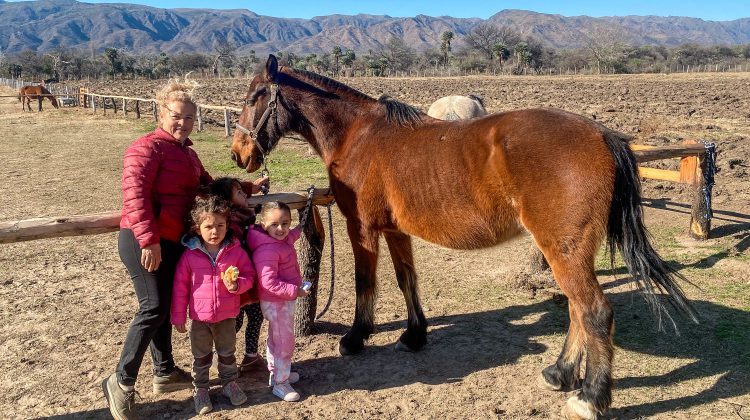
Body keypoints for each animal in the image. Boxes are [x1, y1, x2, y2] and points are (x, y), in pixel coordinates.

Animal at [231, 55, 700, 416]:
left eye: (255, 97)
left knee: (594, 312)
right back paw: (560, 374)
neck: (358, 135)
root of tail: (602, 134)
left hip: (563, 249)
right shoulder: (395, 230)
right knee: (576, 310)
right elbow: (406, 281)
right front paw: (414, 336)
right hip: (567, 251)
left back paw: (589, 398)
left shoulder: (361, 228)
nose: (239, 154)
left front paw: (356, 338)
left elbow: (366, 282)